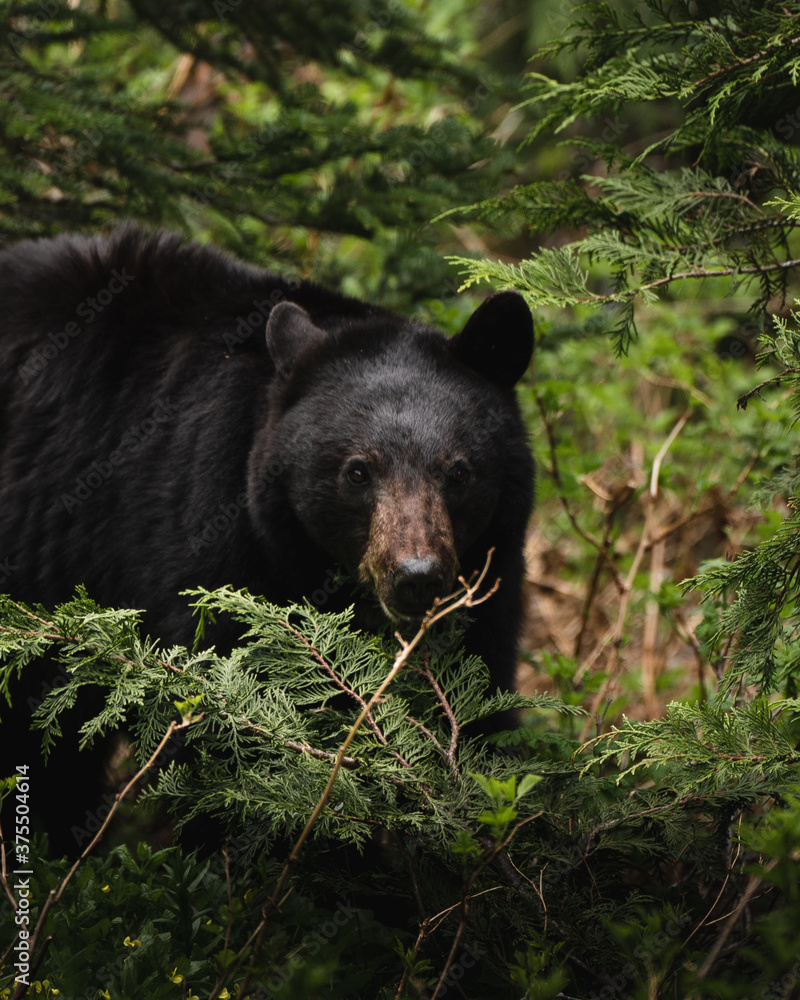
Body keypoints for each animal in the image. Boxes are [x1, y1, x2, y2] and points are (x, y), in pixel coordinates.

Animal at [0, 226, 534, 854]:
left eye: (459, 472)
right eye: (357, 472)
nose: (417, 577)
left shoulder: (491, 574)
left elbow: (481, 693)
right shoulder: (206, 537)